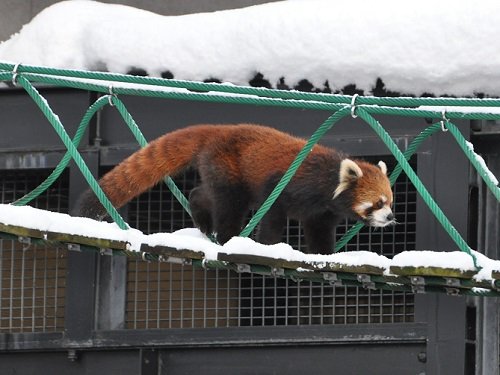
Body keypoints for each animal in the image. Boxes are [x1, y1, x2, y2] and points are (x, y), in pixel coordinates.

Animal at [75, 125, 394, 254]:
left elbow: (319, 232)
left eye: (390, 202)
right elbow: (273, 215)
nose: (390, 217)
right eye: (378, 203)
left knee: (205, 194)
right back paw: (227, 237)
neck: (325, 181)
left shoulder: (322, 212)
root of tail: (218, 130)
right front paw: (268, 246)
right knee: (229, 205)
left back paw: (202, 216)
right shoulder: (286, 184)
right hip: (229, 167)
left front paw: (323, 255)